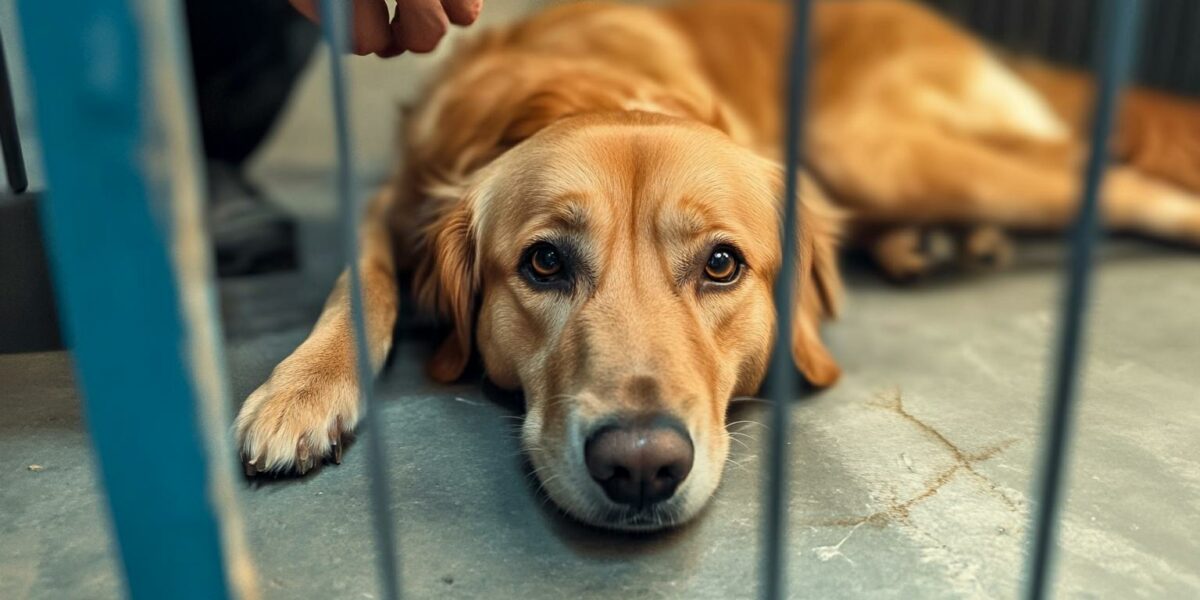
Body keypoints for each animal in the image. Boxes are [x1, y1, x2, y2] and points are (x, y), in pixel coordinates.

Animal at [236, 3, 1200, 530]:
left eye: (723, 265)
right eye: (544, 263)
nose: (640, 466)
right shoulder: (387, 205)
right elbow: (357, 283)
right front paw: (301, 392)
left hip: (876, 147)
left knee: (1119, 180)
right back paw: (930, 242)